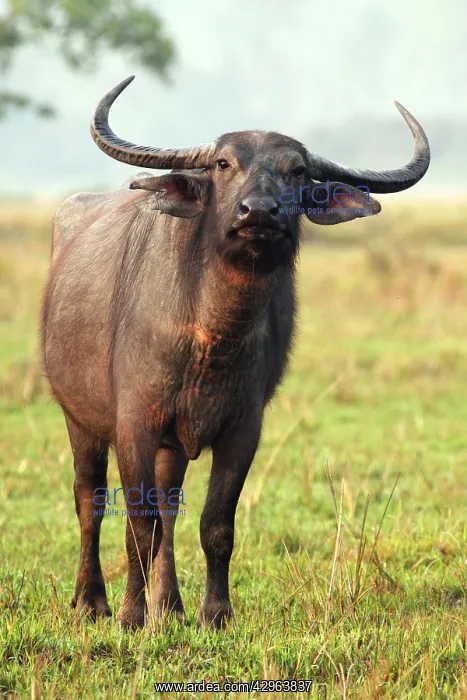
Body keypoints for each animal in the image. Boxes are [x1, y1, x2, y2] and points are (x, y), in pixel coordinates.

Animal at [41, 76, 430, 629]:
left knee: (171, 506)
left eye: (298, 171)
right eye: (224, 163)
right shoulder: (134, 422)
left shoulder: (243, 429)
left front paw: (215, 614)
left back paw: (170, 606)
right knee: (89, 499)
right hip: (78, 417)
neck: (211, 336)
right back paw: (92, 601)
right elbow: (138, 523)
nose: (259, 212)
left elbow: (214, 525)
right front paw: (131, 615)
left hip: (170, 443)